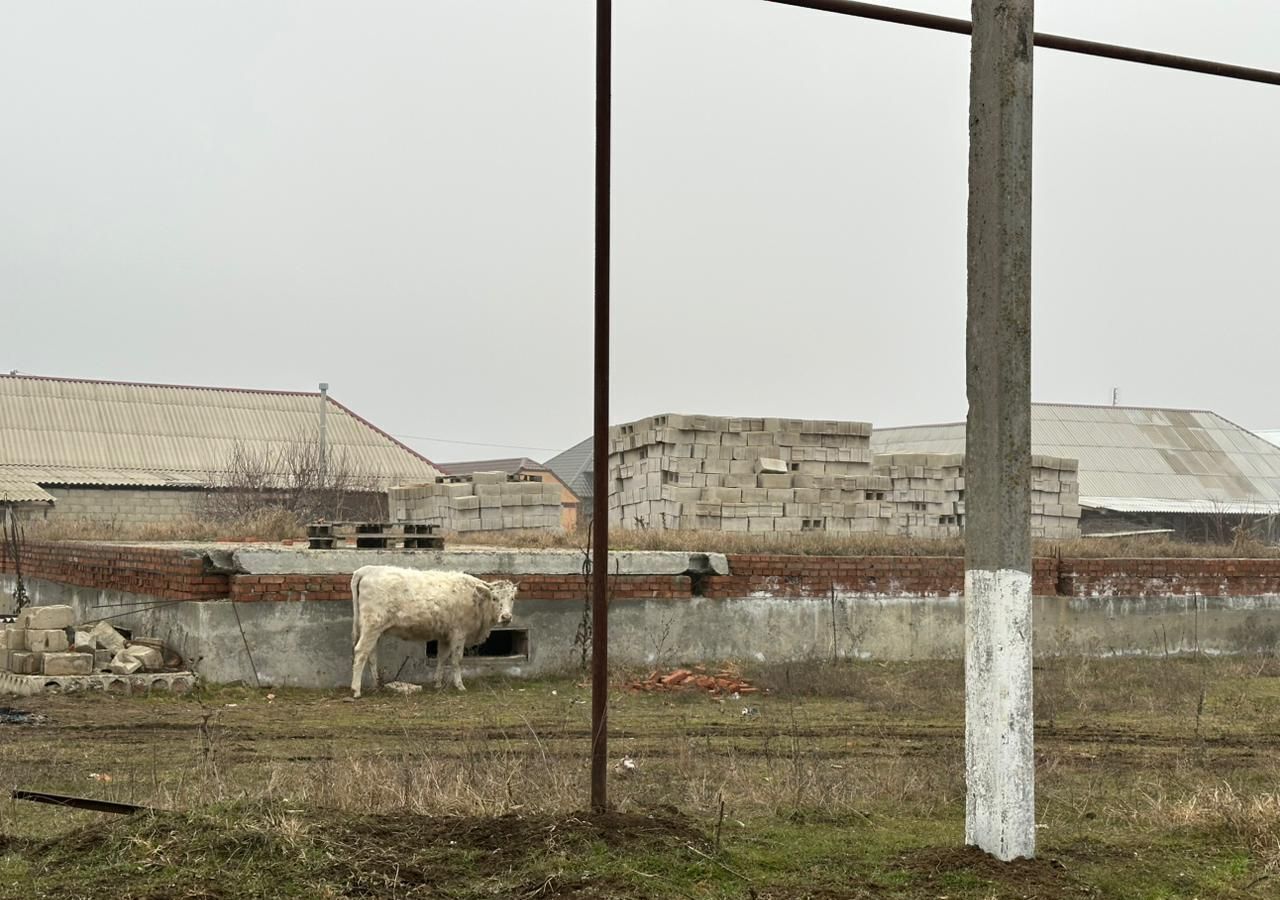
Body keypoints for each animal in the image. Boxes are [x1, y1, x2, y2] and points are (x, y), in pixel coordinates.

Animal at [350, 565, 514, 701]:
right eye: (495, 598)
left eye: (512, 598)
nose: (506, 617)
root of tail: (366, 570)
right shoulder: (459, 633)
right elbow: (457, 660)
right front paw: (460, 685)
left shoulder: (445, 635)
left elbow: (442, 657)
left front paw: (437, 683)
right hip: (372, 625)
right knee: (361, 652)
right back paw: (356, 690)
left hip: (373, 630)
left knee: (371, 655)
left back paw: (376, 684)